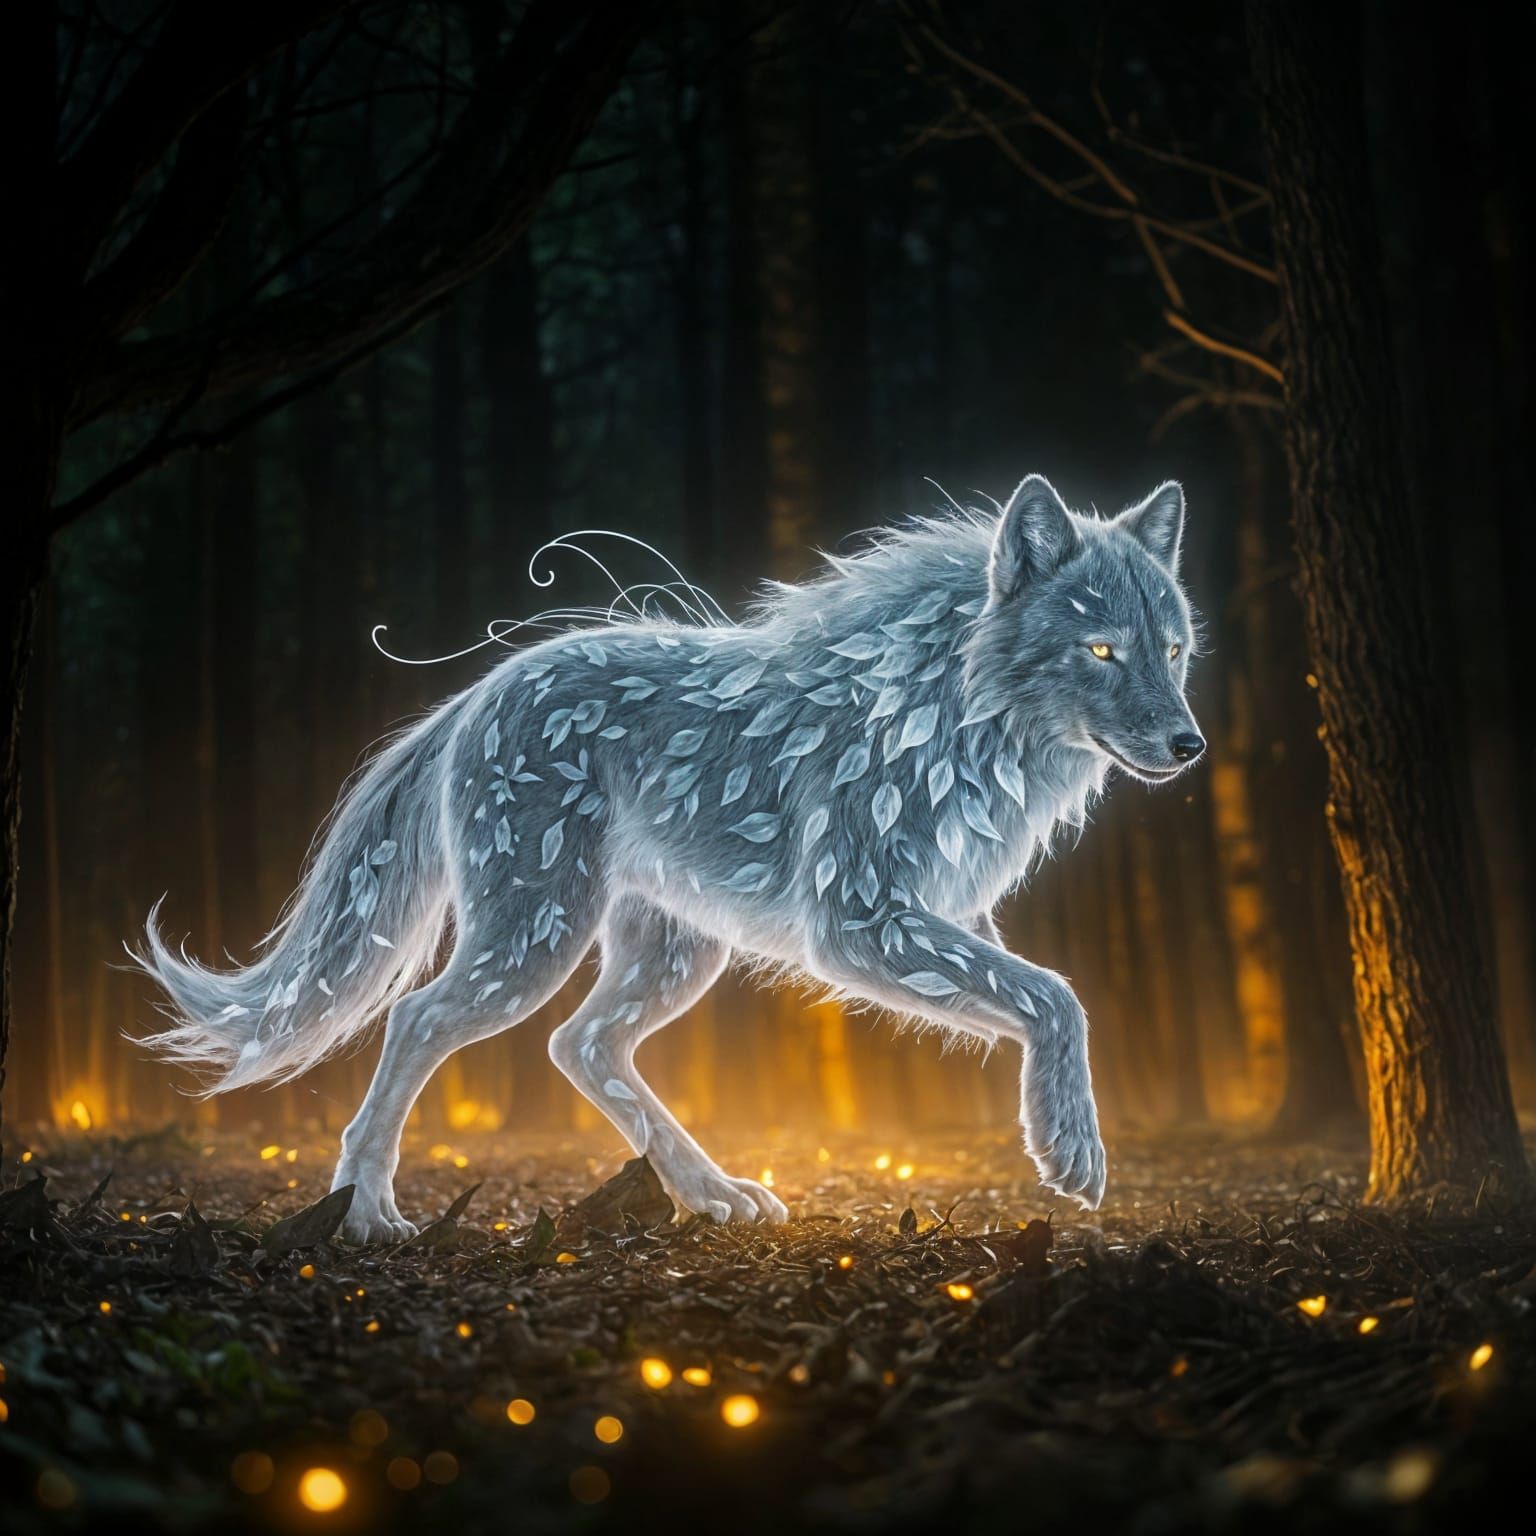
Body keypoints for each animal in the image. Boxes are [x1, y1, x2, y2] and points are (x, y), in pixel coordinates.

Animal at [135, 474, 1205, 1242]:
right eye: (1103, 650)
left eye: (1174, 649)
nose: (1191, 745)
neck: (953, 711)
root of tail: (477, 691)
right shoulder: (859, 924)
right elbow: (1057, 996)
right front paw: (1070, 1152)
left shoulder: (949, 917)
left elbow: (1038, 991)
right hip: (538, 940)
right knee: (418, 1020)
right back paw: (366, 1212)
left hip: (676, 953)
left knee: (582, 1044)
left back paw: (712, 1193)